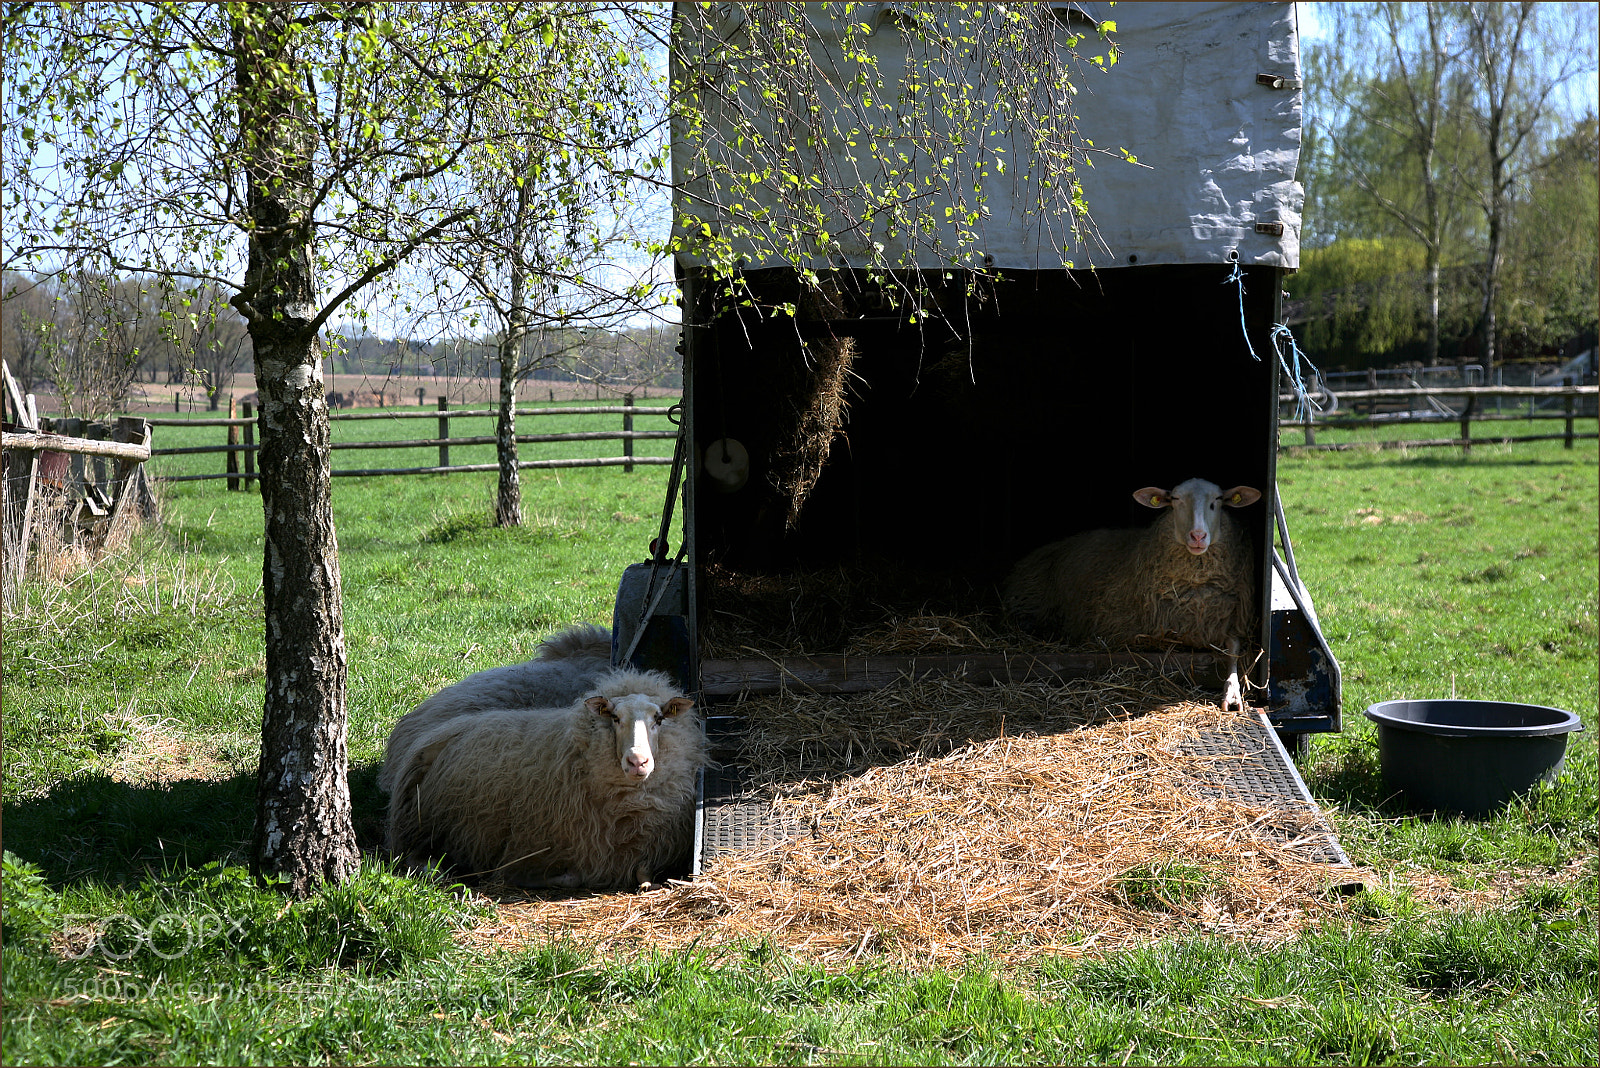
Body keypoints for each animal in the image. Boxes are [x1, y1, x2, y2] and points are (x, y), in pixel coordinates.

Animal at [385, 668, 706, 890]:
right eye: (614, 718)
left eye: (659, 719)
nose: (637, 761)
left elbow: (644, 875)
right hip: (422, 827)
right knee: (415, 859)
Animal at [1004, 478, 1263, 710]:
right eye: (1175, 500)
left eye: (1217, 501)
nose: (1198, 536)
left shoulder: (1229, 621)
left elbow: (1234, 650)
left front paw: (1232, 693)